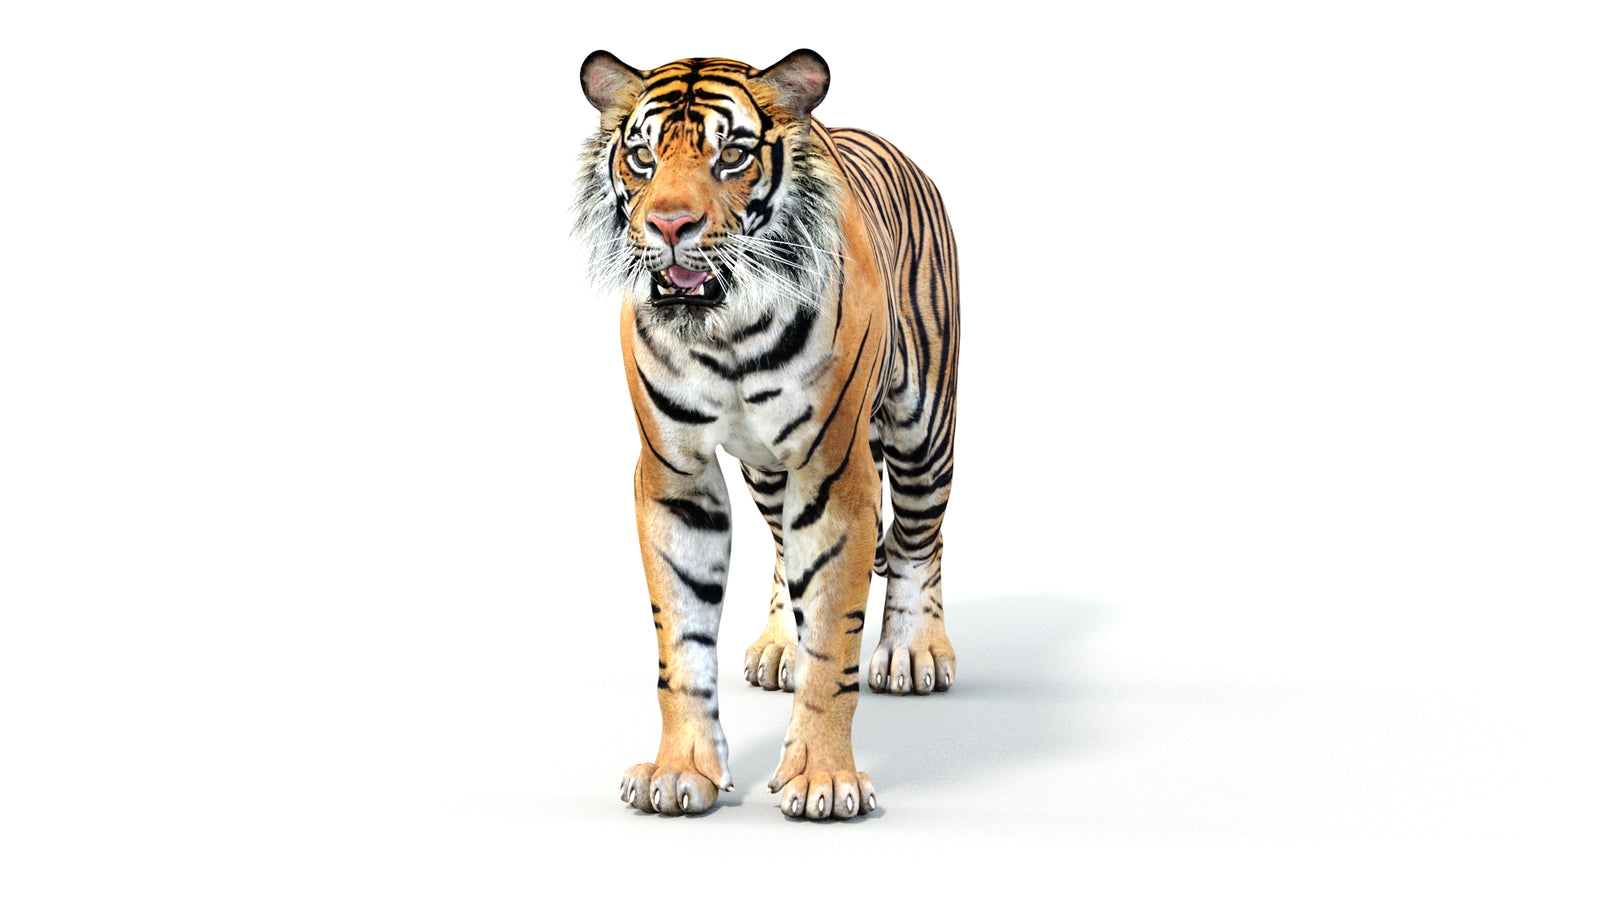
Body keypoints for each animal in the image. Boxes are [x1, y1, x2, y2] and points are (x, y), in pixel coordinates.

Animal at [575, 48, 959, 819]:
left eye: (732, 155)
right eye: (641, 155)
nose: (670, 225)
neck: (725, 329)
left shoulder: (835, 470)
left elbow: (835, 641)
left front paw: (823, 777)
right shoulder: (676, 476)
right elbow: (682, 641)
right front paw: (679, 770)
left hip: (922, 423)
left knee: (919, 539)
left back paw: (914, 651)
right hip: (764, 467)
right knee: (786, 548)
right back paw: (782, 643)